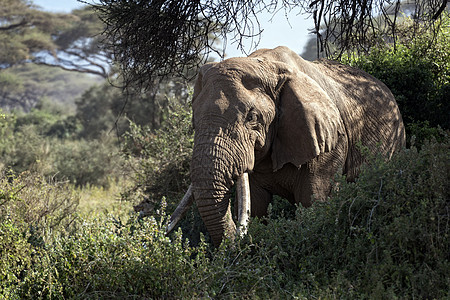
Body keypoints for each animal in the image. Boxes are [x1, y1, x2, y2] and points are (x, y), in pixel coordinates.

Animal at [167, 45, 406, 246]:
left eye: (252, 117)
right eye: (194, 120)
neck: (266, 66)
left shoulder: (329, 143)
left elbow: (313, 203)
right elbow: (257, 205)